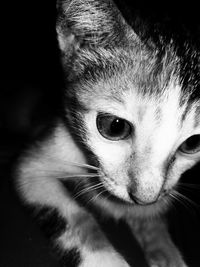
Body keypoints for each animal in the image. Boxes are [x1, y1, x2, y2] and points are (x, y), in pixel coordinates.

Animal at [14, 0, 200, 266]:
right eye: (115, 126)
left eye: (193, 143)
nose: (145, 198)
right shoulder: (32, 168)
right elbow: (75, 219)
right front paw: (106, 260)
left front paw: (165, 251)